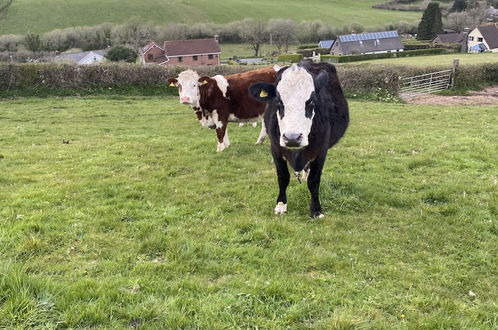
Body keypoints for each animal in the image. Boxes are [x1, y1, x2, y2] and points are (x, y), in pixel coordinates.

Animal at [249, 60, 350, 218]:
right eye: (278, 102)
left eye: (311, 102)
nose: (292, 138)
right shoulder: (276, 149)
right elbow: (283, 177)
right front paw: (281, 205)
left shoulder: (321, 151)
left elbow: (314, 181)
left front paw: (316, 210)